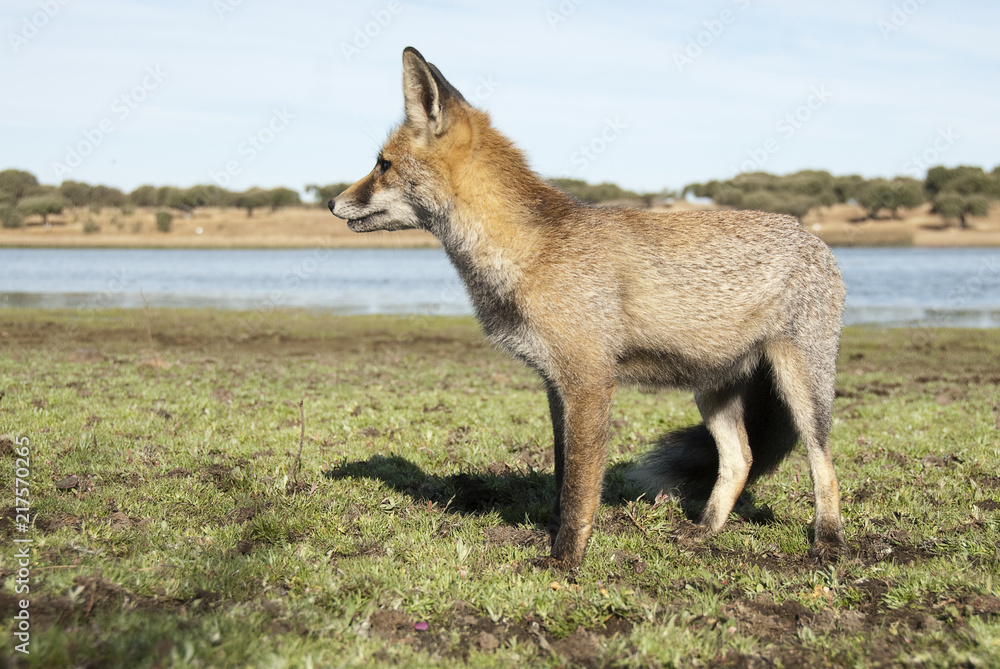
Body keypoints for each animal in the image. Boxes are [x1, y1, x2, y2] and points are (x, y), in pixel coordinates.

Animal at [329, 47, 847, 569]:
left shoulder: (589, 381)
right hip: (712, 390)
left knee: (823, 463)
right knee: (740, 459)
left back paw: (828, 541)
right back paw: (704, 530)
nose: (332, 202)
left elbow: (581, 487)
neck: (529, 250)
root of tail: (812, 236)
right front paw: (552, 535)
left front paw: (564, 562)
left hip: (803, 388)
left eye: (382, 165)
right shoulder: (555, 383)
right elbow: (562, 476)